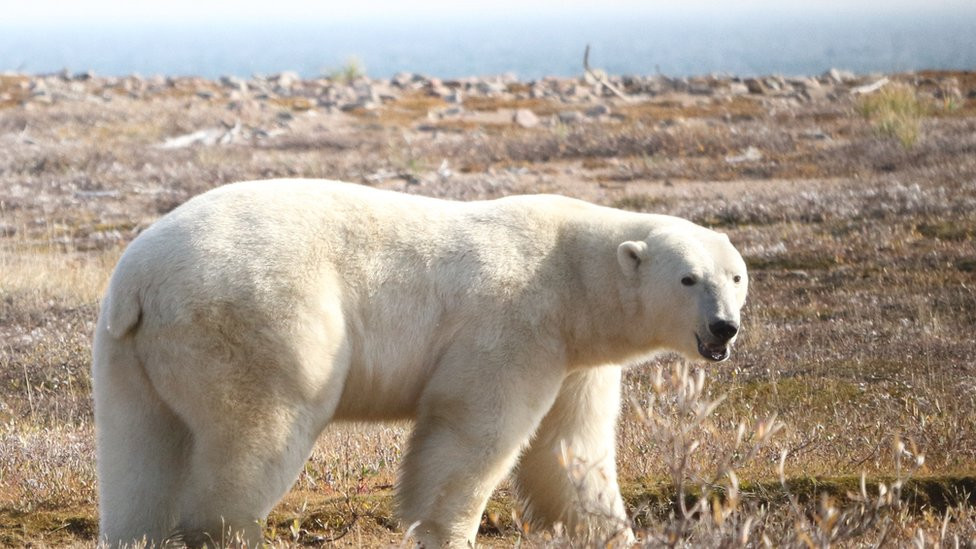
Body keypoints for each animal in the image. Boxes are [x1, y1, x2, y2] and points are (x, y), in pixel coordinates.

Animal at [93, 178, 748, 544]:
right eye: (689, 278)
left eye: (736, 276)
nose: (725, 326)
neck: (573, 276)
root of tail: (140, 282)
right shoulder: (514, 323)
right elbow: (473, 431)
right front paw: (447, 531)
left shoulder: (578, 357)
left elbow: (571, 450)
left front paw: (607, 531)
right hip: (257, 320)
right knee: (259, 429)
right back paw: (233, 531)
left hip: (128, 354)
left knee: (140, 452)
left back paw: (135, 532)